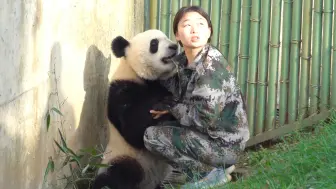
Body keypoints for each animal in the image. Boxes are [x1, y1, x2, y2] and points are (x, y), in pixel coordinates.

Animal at [92, 29, 180, 189]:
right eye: (154, 43)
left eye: (167, 37)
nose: (174, 46)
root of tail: (147, 184)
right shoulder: (121, 91)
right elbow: (132, 130)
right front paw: (162, 104)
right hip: (122, 156)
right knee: (120, 173)